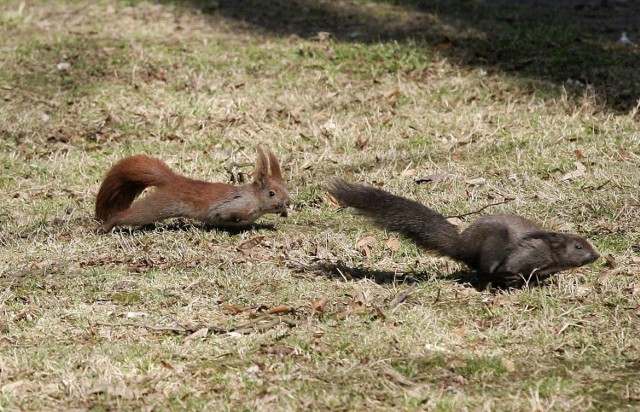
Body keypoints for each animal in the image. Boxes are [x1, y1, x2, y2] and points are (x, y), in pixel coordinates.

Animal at [94, 147, 290, 232]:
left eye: (286, 189)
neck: (254, 199)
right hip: (159, 206)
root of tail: (173, 181)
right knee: (131, 215)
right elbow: (226, 214)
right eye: (271, 193)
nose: (288, 202)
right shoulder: (234, 204)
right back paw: (106, 226)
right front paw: (236, 219)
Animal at [328, 180, 604, 286]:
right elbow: (512, 269)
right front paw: (512, 280)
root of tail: (463, 245)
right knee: (484, 269)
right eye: (578, 246)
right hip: (492, 243)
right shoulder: (523, 255)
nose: (596, 256)